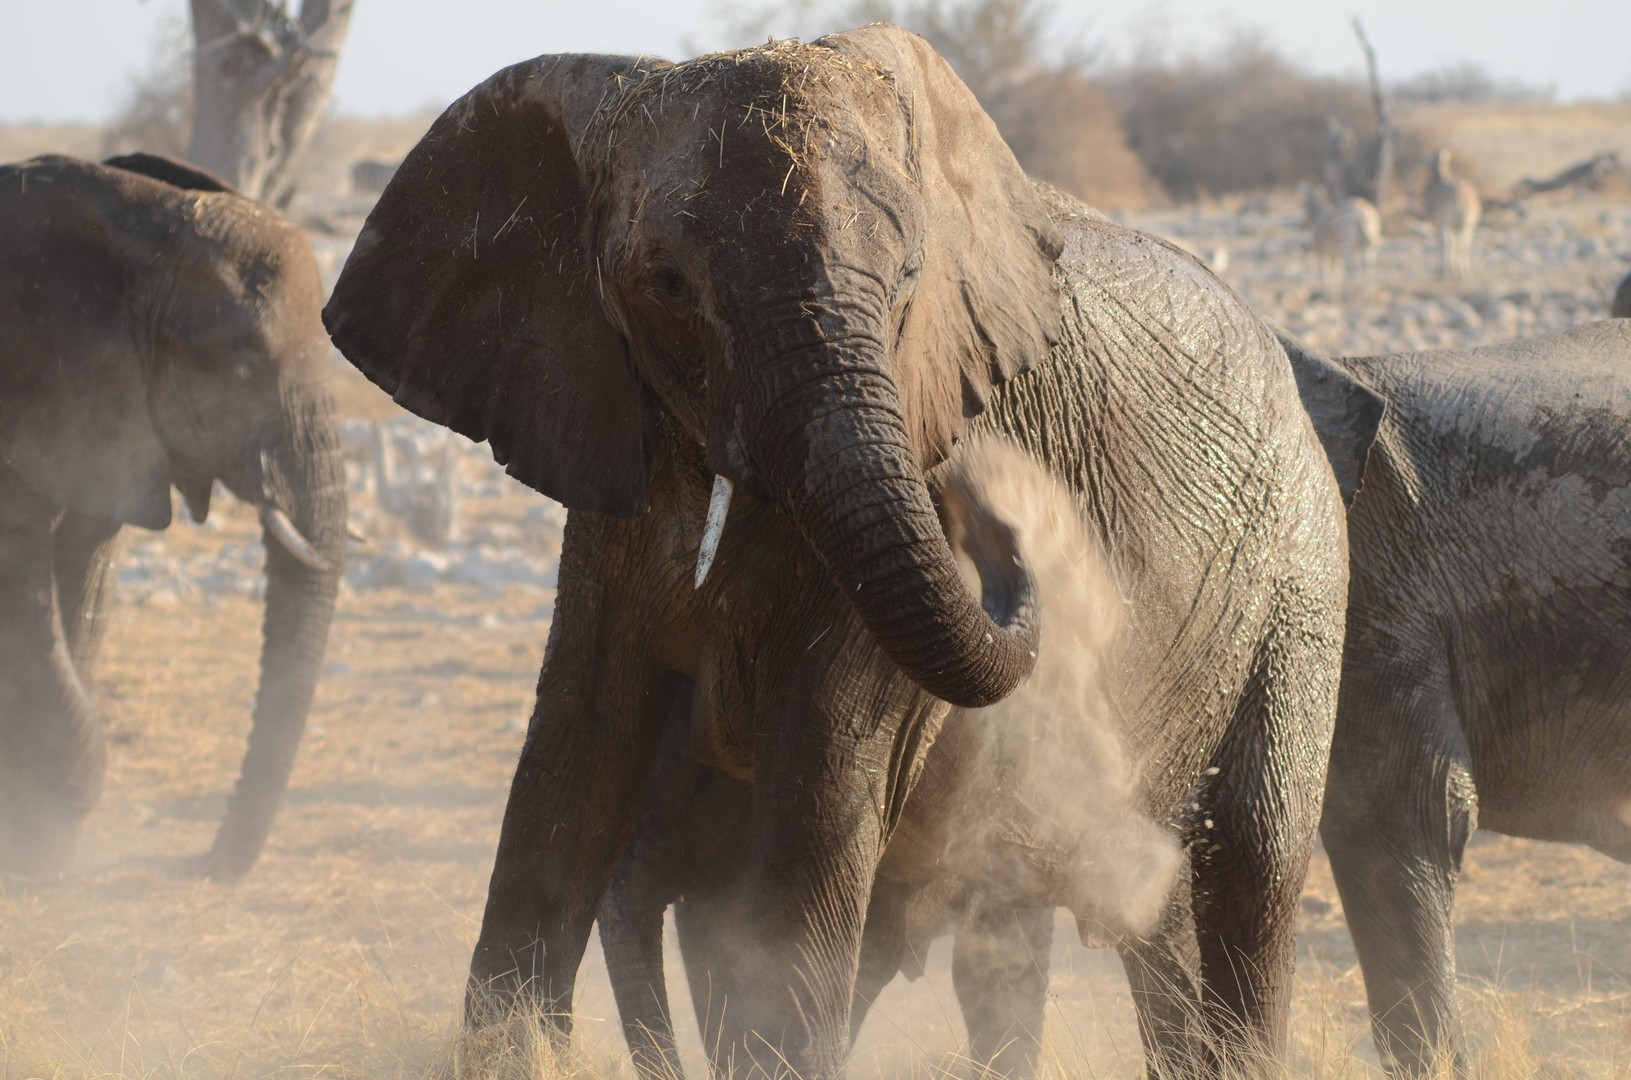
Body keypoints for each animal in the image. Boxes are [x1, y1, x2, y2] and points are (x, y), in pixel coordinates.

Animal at [318, 27, 1363, 1080]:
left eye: (906, 278)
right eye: (666, 286)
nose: (986, 496)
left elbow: (813, 811)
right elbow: (572, 761)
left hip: (1303, 571)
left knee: (1249, 867)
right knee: (1077, 925)